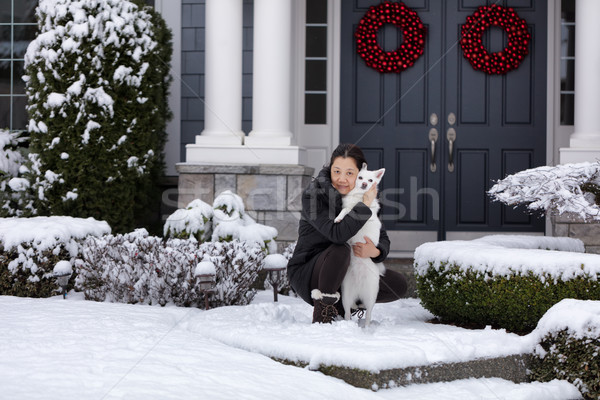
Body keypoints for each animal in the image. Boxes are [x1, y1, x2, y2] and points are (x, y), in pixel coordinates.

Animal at [332, 162, 384, 324]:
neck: (359, 197)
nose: (365, 184)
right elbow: (345, 210)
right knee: (348, 313)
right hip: (346, 296)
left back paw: (366, 327)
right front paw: (338, 218)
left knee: (368, 316)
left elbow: (349, 211)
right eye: (360, 177)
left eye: (371, 180)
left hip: (371, 297)